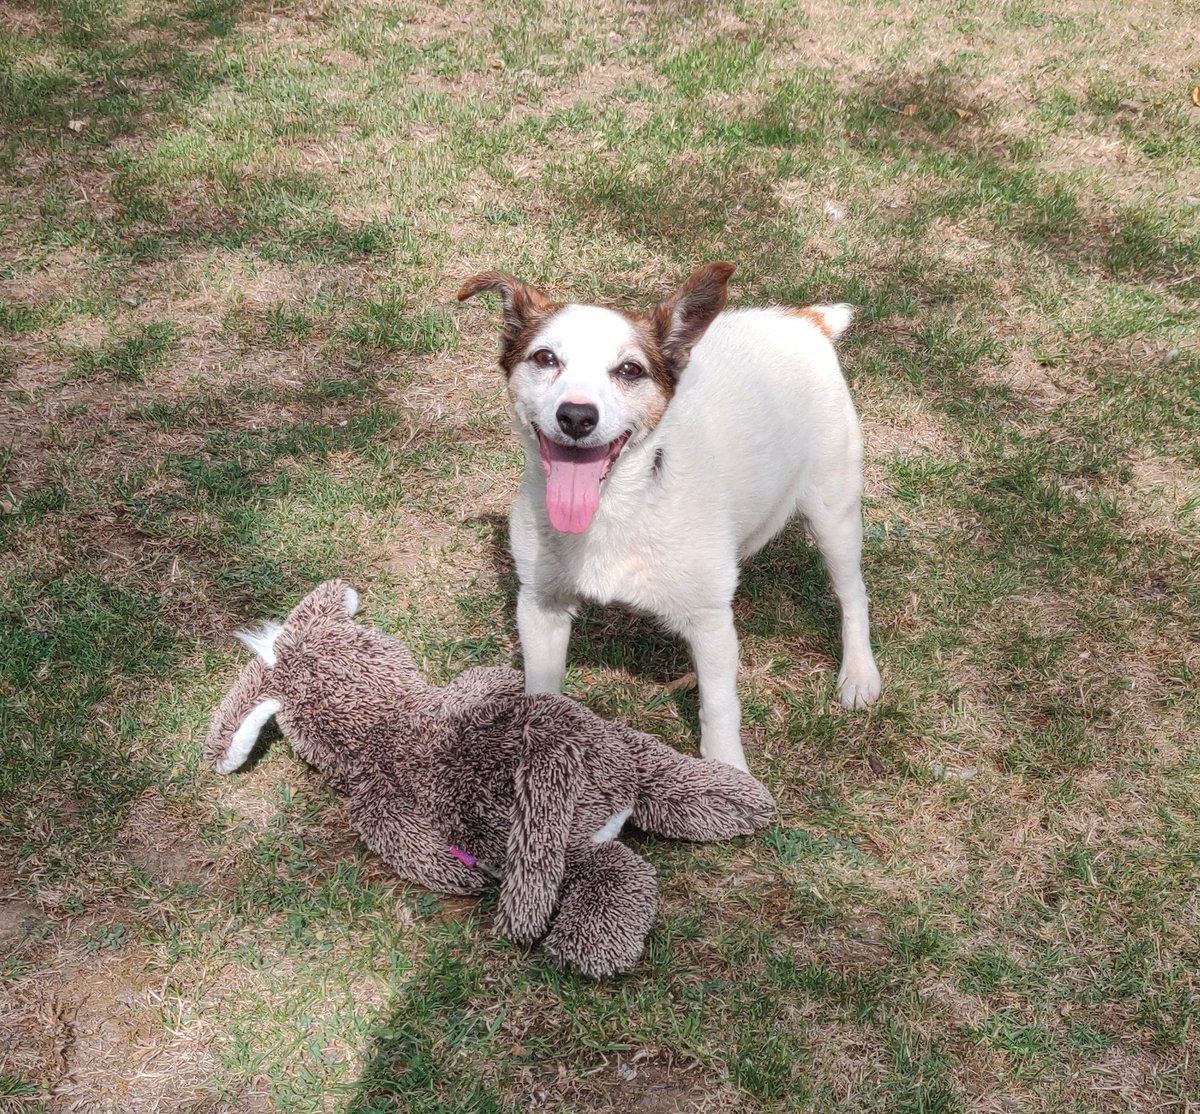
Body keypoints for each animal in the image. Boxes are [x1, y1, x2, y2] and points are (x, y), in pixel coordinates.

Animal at [458, 261, 883, 768]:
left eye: (630, 369)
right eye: (545, 358)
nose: (577, 417)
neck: (618, 505)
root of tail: (804, 319)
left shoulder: (710, 621)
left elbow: (719, 709)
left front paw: (728, 773)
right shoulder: (541, 607)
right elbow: (542, 691)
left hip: (835, 513)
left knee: (853, 595)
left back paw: (859, 673)